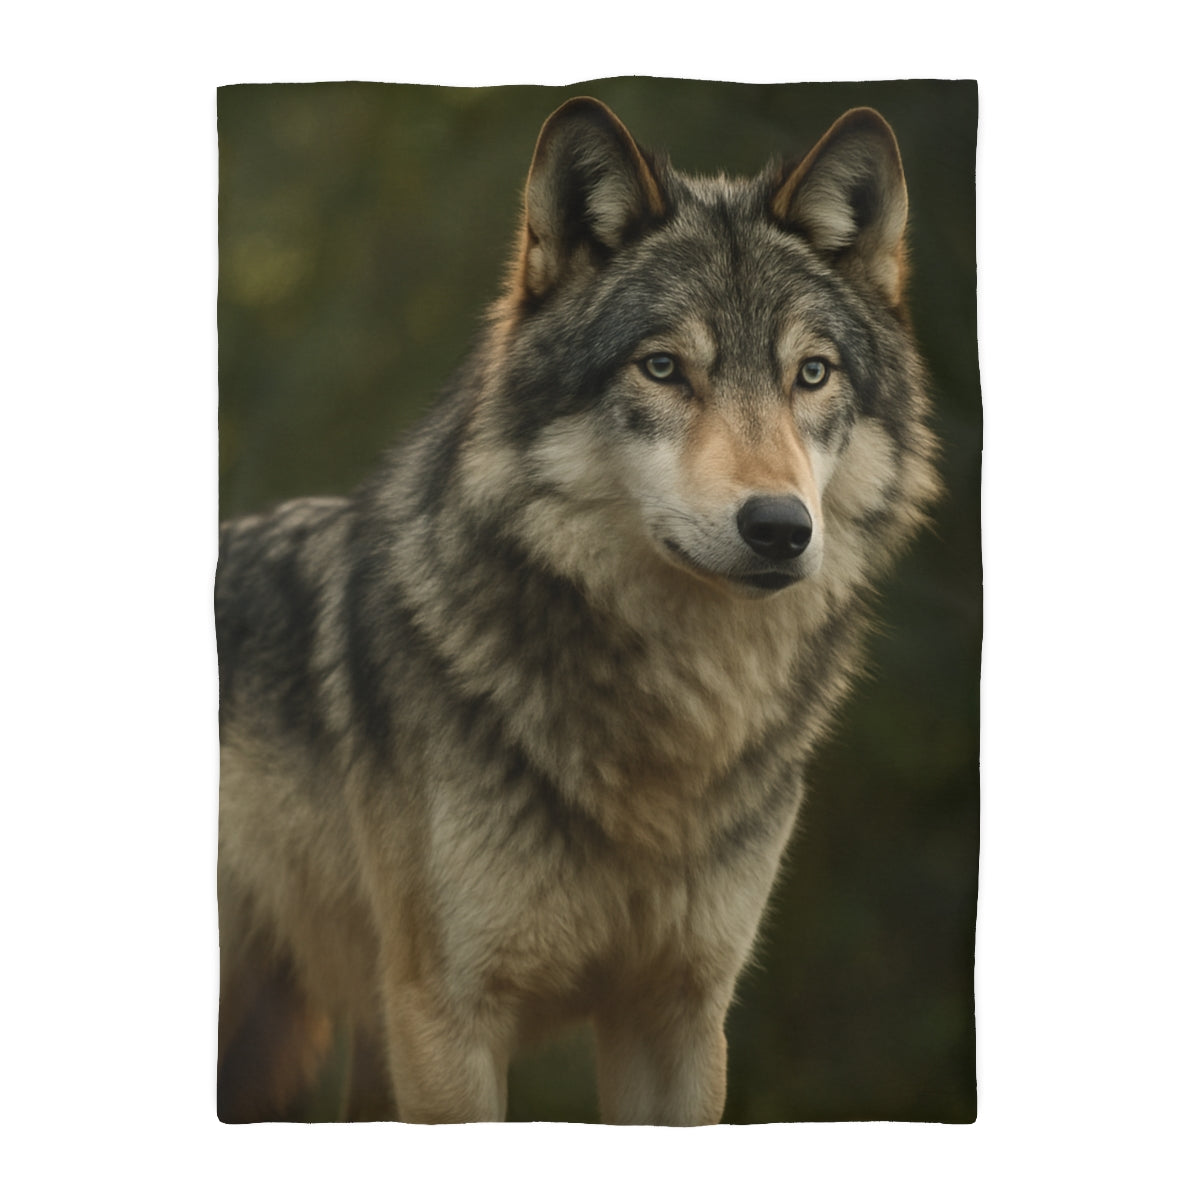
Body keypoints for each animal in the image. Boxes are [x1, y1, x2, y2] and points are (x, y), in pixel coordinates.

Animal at [216, 97, 941, 1124]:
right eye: (663, 367)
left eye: (812, 373)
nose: (778, 528)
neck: (673, 729)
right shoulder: (447, 1023)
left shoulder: (677, 1016)